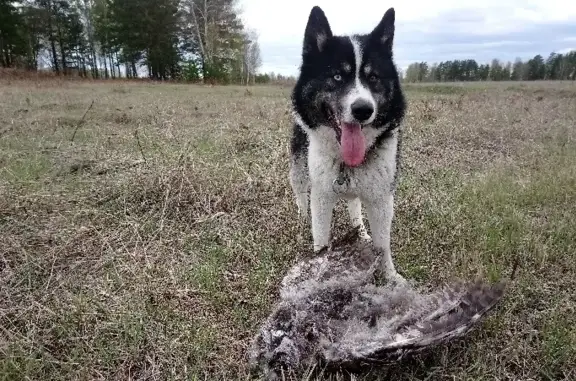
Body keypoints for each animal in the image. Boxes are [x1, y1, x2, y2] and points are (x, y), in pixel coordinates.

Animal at [290, 4, 408, 280]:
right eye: (336, 76)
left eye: (373, 77)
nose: (363, 110)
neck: (347, 162)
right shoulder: (321, 197)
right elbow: (321, 239)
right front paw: (318, 268)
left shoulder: (381, 198)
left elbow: (383, 244)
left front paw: (390, 277)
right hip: (298, 166)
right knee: (300, 193)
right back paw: (301, 219)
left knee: (355, 205)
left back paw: (360, 231)